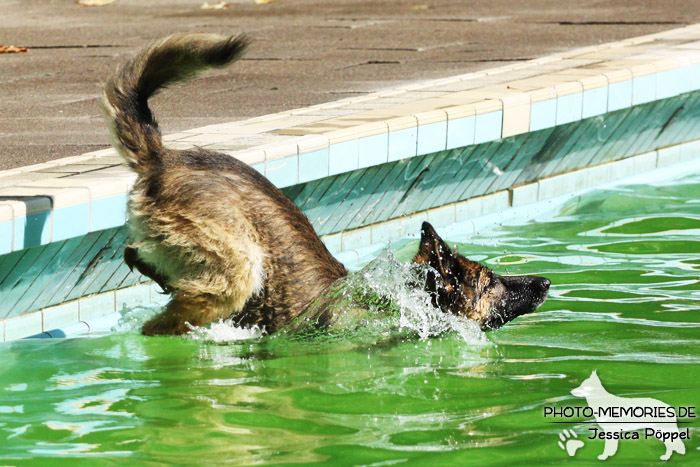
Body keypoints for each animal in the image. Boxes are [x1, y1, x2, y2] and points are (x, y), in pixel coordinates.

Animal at [102, 34, 552, 338]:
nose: (546, 282)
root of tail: (162, 155)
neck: (401, 301)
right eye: (490, 282)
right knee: (166, 318)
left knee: (136, 254)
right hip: (238, 269)